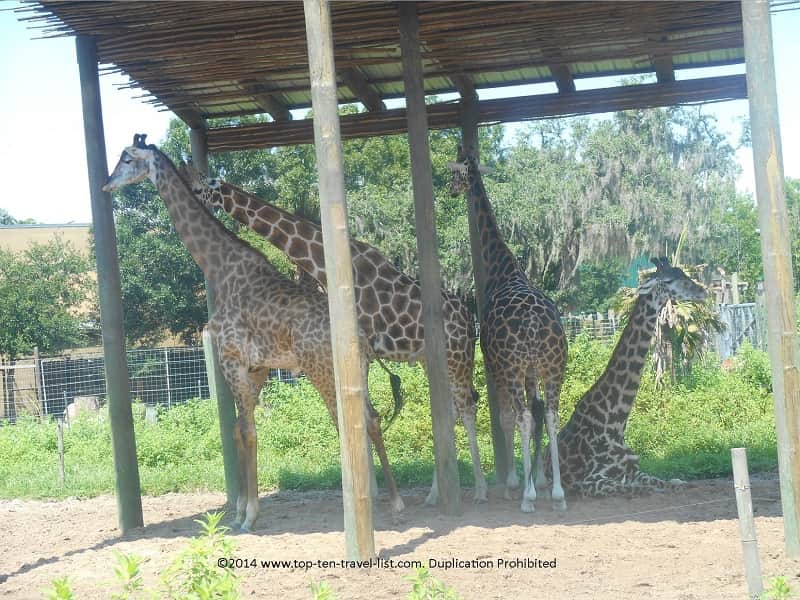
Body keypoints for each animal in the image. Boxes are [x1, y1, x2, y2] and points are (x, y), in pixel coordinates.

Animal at [103, 135, 404, 531]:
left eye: (126, 158)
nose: (106, 185)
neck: (219, 268)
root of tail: (363, 338)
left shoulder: (231, 359)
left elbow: (247, 432)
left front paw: (248, 516)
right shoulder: (257, 367)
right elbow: (238, 431)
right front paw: (238, 511)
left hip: (322, 371)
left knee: (349, 424)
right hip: (358, 373)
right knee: (372, 419)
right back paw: (393, 501)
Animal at [180, 163, 488, 504]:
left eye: (198, 188)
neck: (325, 266)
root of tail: (467, 316)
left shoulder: (359, 349)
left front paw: (369, 490)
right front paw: (371, 489)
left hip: (457, 356)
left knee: (466, 406)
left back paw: (479, 489)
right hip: (429, 359)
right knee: (452, 409)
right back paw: (436, 493)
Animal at [449, 145, 568, 513]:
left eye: (455, 174)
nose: (451, 191)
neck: (502, 268)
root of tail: (533, 325)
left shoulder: (496, 364)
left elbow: (506, 417)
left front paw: (516, 482)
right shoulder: (532, 370)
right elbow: (536, 411)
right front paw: (538, 480)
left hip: (515, 367)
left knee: (524, 415)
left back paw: (528, 498)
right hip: (555, 366)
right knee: (551, 413)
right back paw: (558, 494)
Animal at [547, 257, 706, 496]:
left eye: (684, 273)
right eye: (668, 280)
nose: (702, 291)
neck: (616, 421)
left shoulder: (634, 470)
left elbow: (668, 482)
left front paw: (681, 483)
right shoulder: (588, 482)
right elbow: (637, 489)